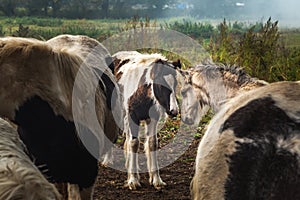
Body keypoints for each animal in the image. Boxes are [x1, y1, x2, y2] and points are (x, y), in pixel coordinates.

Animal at [112, 50, 182, 190]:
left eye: (175, 84)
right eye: (161, 85)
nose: (174, 111)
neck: (142, 91)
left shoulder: (152, 118)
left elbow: (152, 143)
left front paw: (156, 180)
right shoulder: (132, 116)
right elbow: (134, 143)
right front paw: (133, 181)